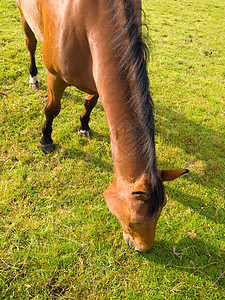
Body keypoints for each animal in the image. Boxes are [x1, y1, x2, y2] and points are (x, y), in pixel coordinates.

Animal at [15, 0, 188, 252]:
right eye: (137, 220)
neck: (91, 22)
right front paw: (45, 139)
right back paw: (33, 77)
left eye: (161, 211)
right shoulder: (56, 77)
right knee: (30, 44)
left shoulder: (98, 78)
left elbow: (90, 103)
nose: (142, 248)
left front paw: (84, 126)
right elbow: (52, 110)